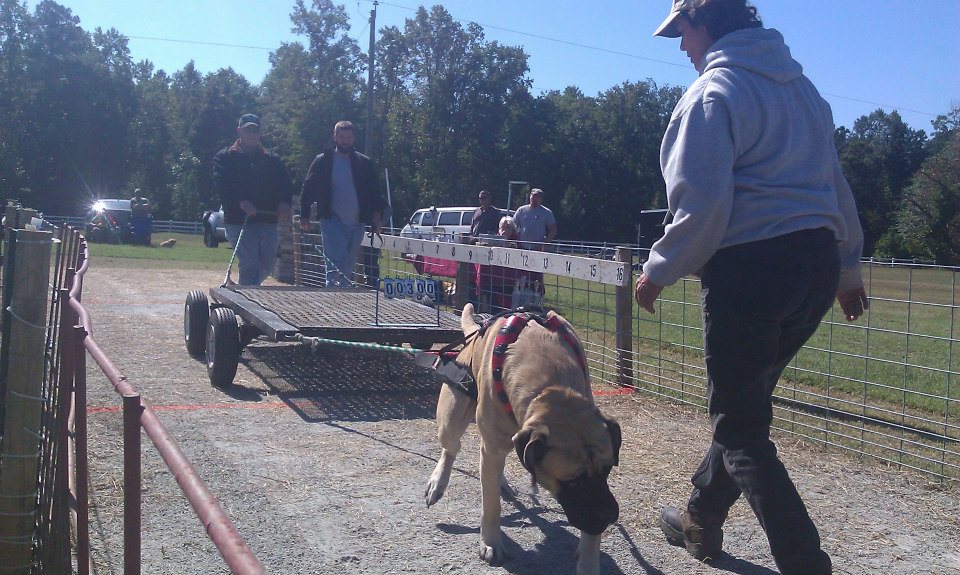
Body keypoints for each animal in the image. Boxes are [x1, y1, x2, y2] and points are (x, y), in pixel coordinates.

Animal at [422, 304, 620, 572]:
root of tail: (474, 333)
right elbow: (491, 504)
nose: (610, 515)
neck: (549, 384)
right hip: (452, 417)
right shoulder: (494, 447)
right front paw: (491, 542)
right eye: (572, 481)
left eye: (607, 470)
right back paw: (438, 482)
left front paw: (589, 562)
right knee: (452, 448)